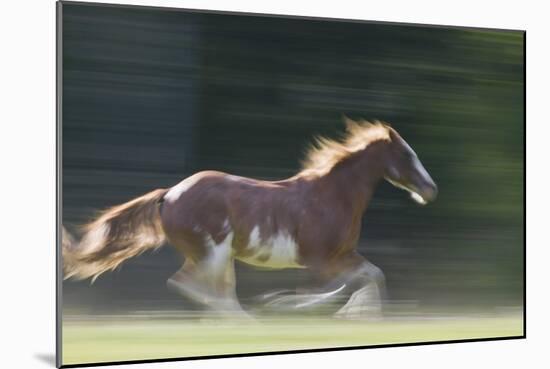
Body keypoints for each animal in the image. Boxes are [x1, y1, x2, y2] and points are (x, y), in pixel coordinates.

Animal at [61, 118, 440, 320]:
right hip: (211, 253)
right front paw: (288, 305)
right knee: (189, 284)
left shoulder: (341, 255)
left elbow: (371, 276)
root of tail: (169, 194)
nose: (431, 190)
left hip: (221, 258)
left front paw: (361, 314)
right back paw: (245, 320)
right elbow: (343, 285)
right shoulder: (320, 260)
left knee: (213, 289)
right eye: (407, 155)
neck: (331, 196)